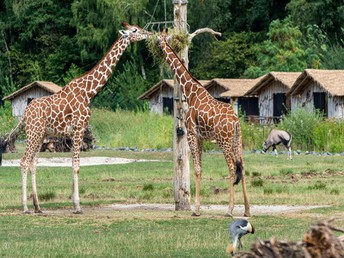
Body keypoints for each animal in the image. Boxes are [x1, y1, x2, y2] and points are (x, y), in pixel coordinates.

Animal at [5, 22, 150, 215]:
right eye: (134, 30)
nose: (147, 33)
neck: (89, 92)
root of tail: (25, 112)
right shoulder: (79, 128)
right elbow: (76, 165)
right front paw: (77, 206)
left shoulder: (73, 131)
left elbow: (72, 165)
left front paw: (75, 204)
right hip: (33, 132)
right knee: (23, 161)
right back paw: (26, 208)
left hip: (41, 135)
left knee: (33, 163)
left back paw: (38, 207)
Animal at [157, 29, 250, 217]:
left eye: (159, 40)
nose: (157, 48)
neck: (190, 91)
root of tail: (235, 121)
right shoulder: (200, 137)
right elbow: (200, 168)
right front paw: (197, 207)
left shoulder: (191, 133)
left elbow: (197, 168)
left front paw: (196, 209)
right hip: (237, 139)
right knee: (242, 166)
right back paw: (247, 210)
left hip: (223, 140)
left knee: (232, 167)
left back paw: (229, 210)